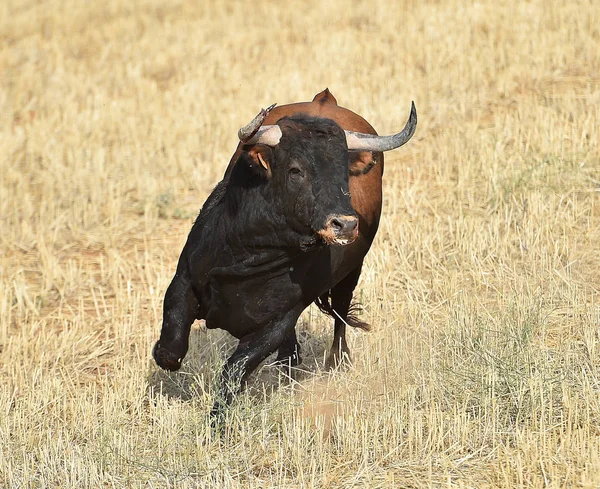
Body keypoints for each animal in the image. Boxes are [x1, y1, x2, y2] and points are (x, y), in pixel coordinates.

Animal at [154, 88, 418, 416]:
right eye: (296, 170)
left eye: (344, 173)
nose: (345, 224)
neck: (250, 254)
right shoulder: (183, 280)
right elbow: (170, 349)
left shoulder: (278, 321)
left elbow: (235, 369)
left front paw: (216, 420)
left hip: (351, 273)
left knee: (340, 313)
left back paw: (337, 360)